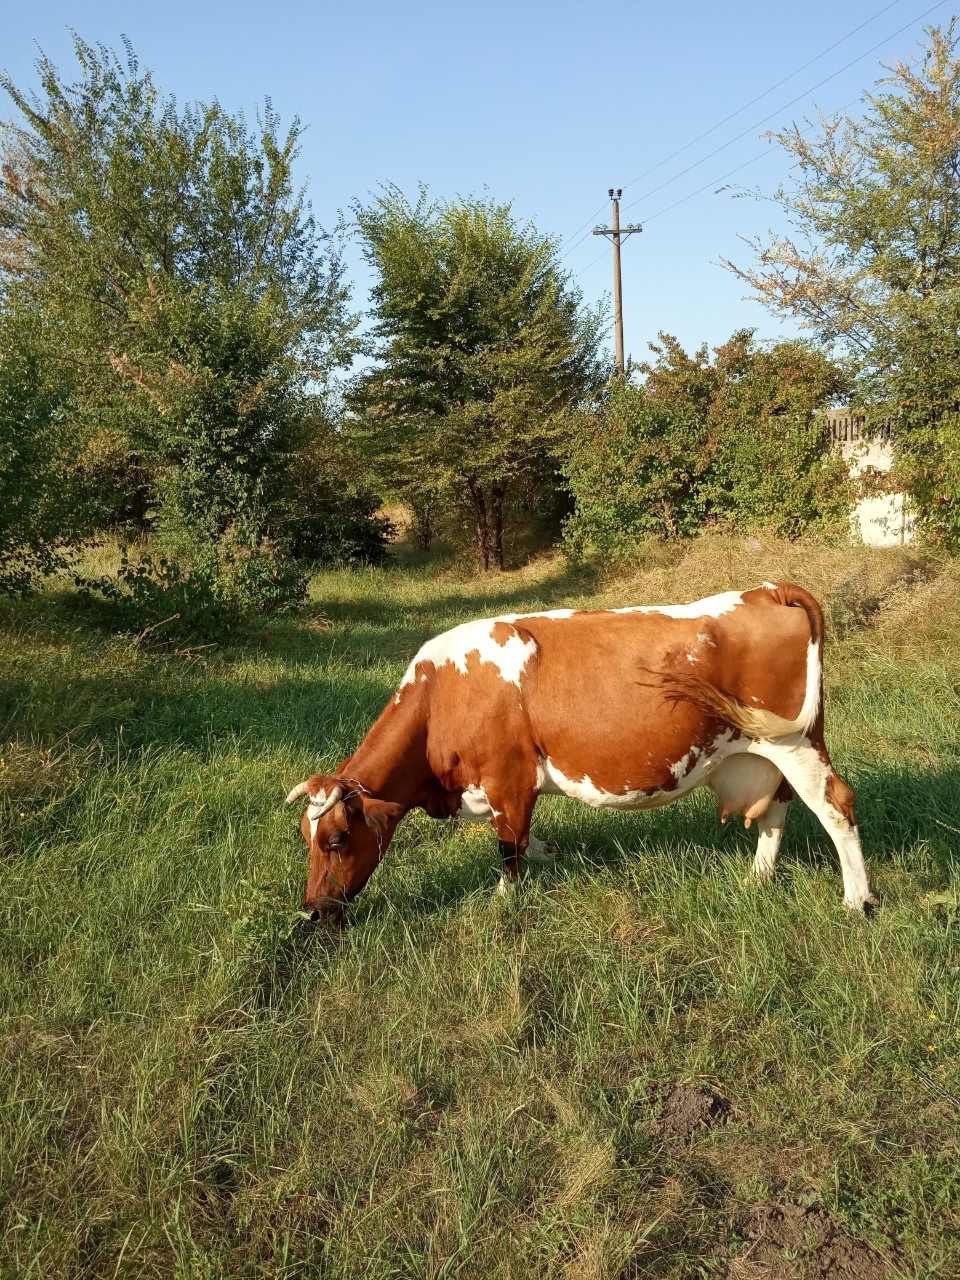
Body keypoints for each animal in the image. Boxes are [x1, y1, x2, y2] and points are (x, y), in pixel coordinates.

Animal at [285, 581, 880, 921]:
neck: (442, 695)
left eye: (336, 839)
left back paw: (857, 902)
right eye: (306, 839)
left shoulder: (508, 779)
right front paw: (550, 854)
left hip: (795, 741)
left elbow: (509, 848)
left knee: (837, 805)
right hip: (765, 751)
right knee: (777, 807)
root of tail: (767, 590)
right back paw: (758, 877)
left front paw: (503, 904)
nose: (312, 910)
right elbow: (525, 840)